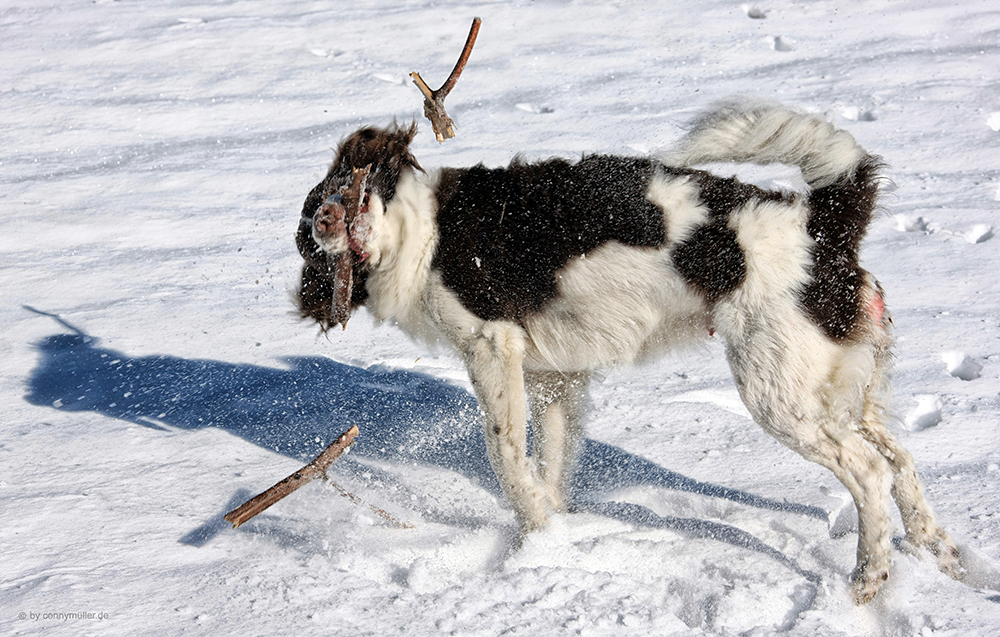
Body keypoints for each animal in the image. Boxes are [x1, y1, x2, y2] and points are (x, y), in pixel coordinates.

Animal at [294, 100, 960, 600]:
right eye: (312, 211)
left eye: (345, 187)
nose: (324, 221)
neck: (427, 232)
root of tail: (822, 224)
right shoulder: (556, 379)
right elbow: (551, 467)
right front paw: (551, 540)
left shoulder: (491, 349)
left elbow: (508, 460)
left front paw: (531, 542)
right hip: (845, 389)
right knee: (901, 460)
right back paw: (938, 550)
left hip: (781, 396)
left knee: (870, 472)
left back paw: (868, 579)